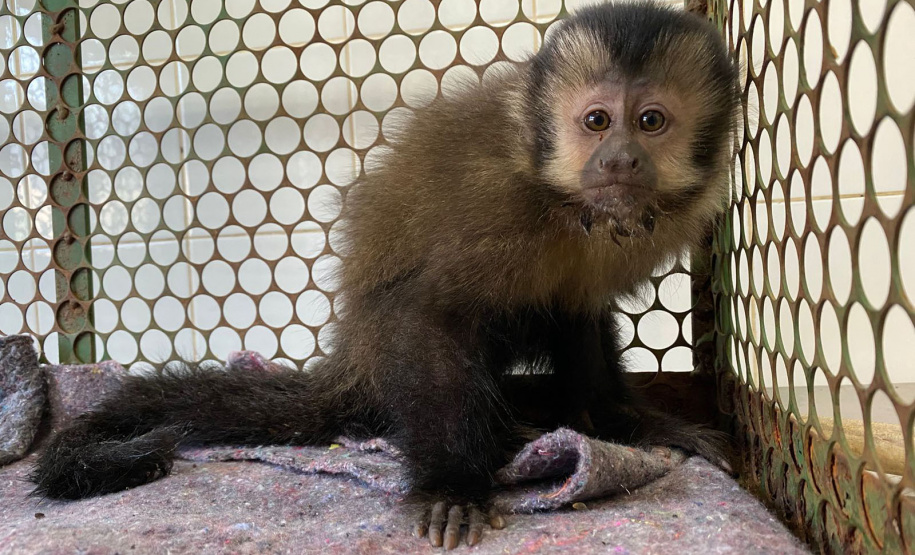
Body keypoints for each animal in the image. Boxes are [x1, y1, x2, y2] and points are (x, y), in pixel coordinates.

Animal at [30, 1, 740, 550]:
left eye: (650, 122)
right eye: (596, 121)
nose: (620, 159)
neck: (566, 204)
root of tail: (352, 364)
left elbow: (583, 313)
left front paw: (627, 427)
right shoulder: (495, 203)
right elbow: (425, 314)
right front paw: (453, 483)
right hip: (383, 362)